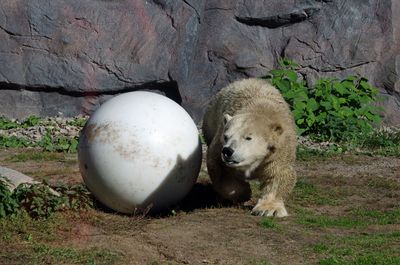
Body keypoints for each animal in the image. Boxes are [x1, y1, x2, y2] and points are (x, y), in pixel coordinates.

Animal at [203, 77, 296, 217]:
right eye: (226, 136)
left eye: (248, 138)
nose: (227, 151)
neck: (261, 109)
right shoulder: (218, 144)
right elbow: (219, 167)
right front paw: (244, 192)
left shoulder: (280, 149)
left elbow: (278, 173)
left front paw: (269, 209)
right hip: (210, 121)